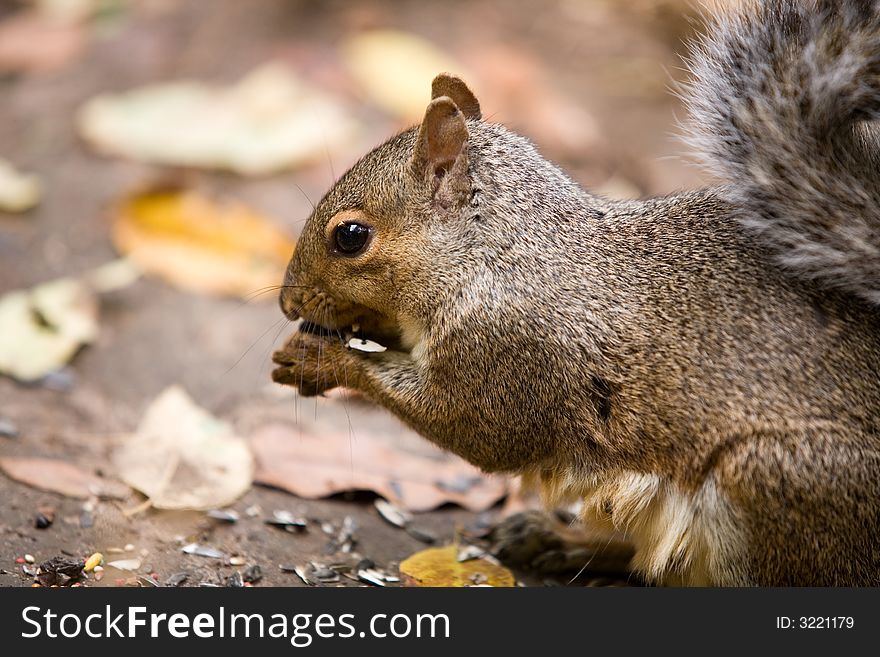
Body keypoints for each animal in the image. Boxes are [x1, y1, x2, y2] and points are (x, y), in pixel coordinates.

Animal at [272, 0, 880, 584]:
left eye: (351, 236)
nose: (288, 303)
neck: (499, 254)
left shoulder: (511, 354)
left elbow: (472, 428)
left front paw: (323, 359)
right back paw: (559, 541)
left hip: (776, 481)